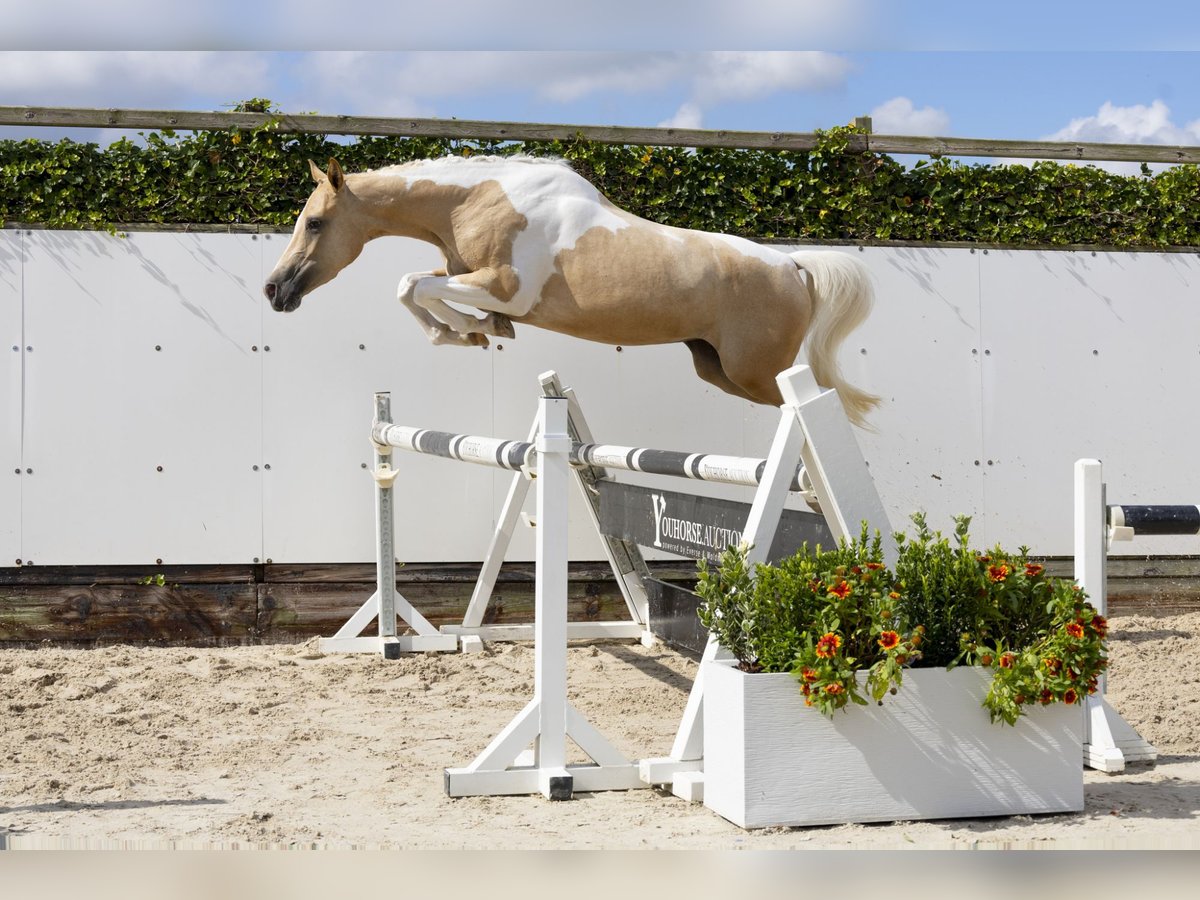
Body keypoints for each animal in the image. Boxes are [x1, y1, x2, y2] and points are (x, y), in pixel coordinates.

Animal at [265, 154, 883, 427]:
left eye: (314, 223)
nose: (274, 291)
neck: (477, 199)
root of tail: (793, 264)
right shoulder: (469, 277)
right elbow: (414, 287)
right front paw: (470, 333)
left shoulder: (505, 288)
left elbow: (414, 286)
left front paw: (469, 331)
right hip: (719, 371)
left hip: (756, 372)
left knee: (817, 405)